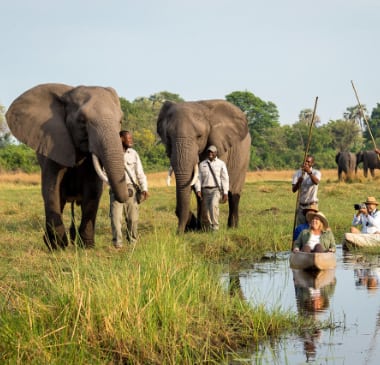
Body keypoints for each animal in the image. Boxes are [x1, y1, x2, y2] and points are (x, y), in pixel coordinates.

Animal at [5, 83, 127, 249]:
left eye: (120, 120)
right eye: (82, 120)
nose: (130, 193)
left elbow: (93, 190)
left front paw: (87, 246)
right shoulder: (53, 144)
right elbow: (51, 189)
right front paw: (59, 247)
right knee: (60, 201)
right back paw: (52, 243)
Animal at [156, 99, 251, 233]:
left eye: (199, 136)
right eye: (168, 137)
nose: (178, 233)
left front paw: (204, 228)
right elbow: (194, 183)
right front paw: (196, 226)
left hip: (244, 156)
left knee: (234, 192)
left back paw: (232, 227)